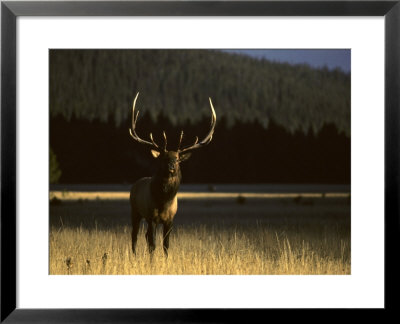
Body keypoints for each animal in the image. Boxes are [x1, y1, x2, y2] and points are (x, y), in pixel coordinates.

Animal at [128, 93, 216, 256]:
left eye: (177, 159)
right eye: (164, 158)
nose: (171, 166)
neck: (163, 202)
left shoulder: (170, 219)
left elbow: (166, 245)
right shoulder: (152, 217)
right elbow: (153, 245)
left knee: (144, 236)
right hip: (135, 211)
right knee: (134, 236)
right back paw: (134, 256)